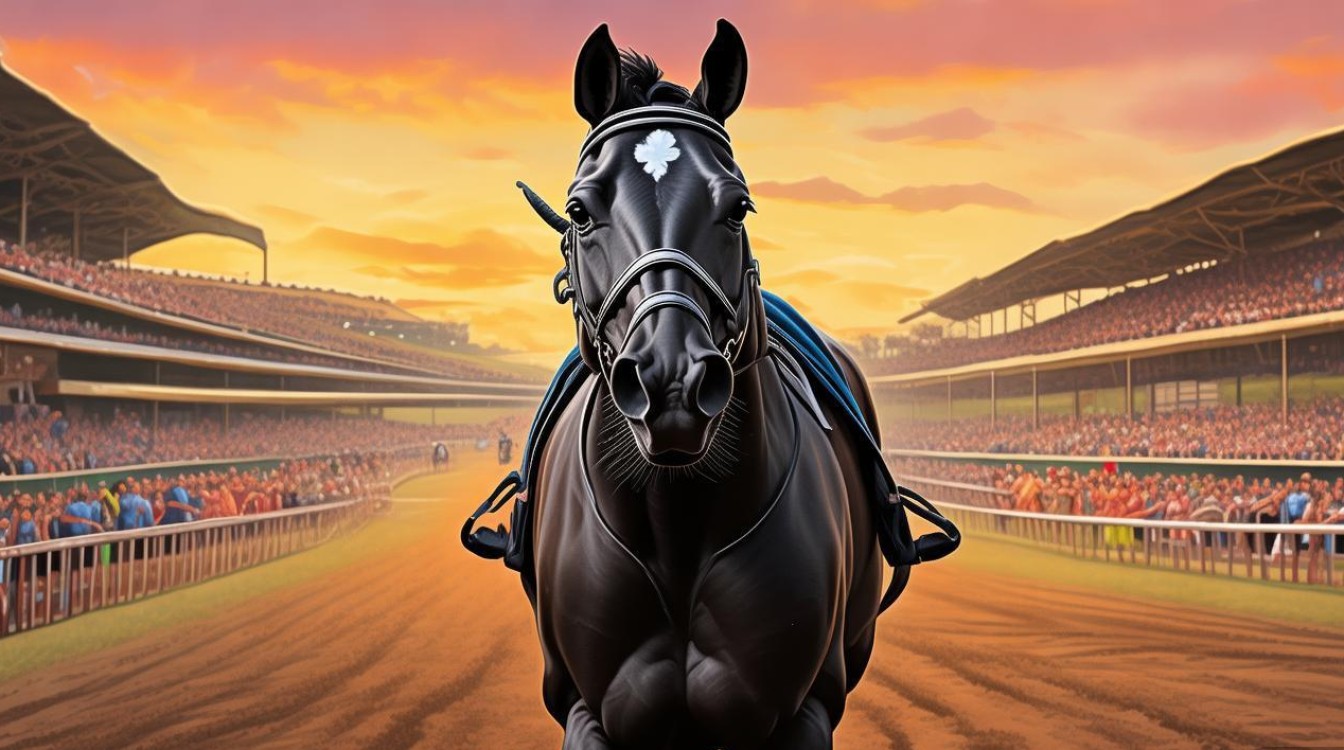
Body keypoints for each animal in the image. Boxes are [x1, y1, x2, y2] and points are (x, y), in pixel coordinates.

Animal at [462, 20, 958, 750]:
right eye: (580, 211)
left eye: (737, 207)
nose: (672, 383)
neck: (677, 526)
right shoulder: (584, 707)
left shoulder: (805, 711)